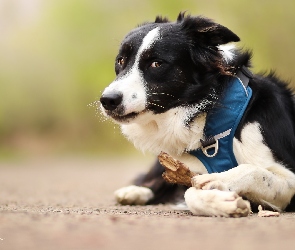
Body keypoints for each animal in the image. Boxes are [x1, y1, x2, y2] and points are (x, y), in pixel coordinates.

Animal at [99, 12, 295, 217]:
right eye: (121, 60)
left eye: (156, 63)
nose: (108, 100)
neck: (208, 112)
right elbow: (189, 192)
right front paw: (222, 201)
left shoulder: (289, 179)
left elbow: (254, 171)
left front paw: (219, 181)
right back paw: (135, 191)